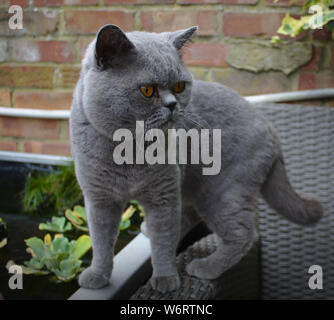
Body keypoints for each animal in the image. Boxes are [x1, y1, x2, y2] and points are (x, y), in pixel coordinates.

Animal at [69, 24, 322, 292]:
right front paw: (97, 275)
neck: (129, 153)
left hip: (220, 190)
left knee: (244, 234)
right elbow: (101, 242)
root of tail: (272, 131)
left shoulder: (164, 196)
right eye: (147, 90)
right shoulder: (99, 199)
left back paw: (206, 267)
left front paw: (166, 279)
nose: (172, 105)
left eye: (180, 86)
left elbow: (163, 241)